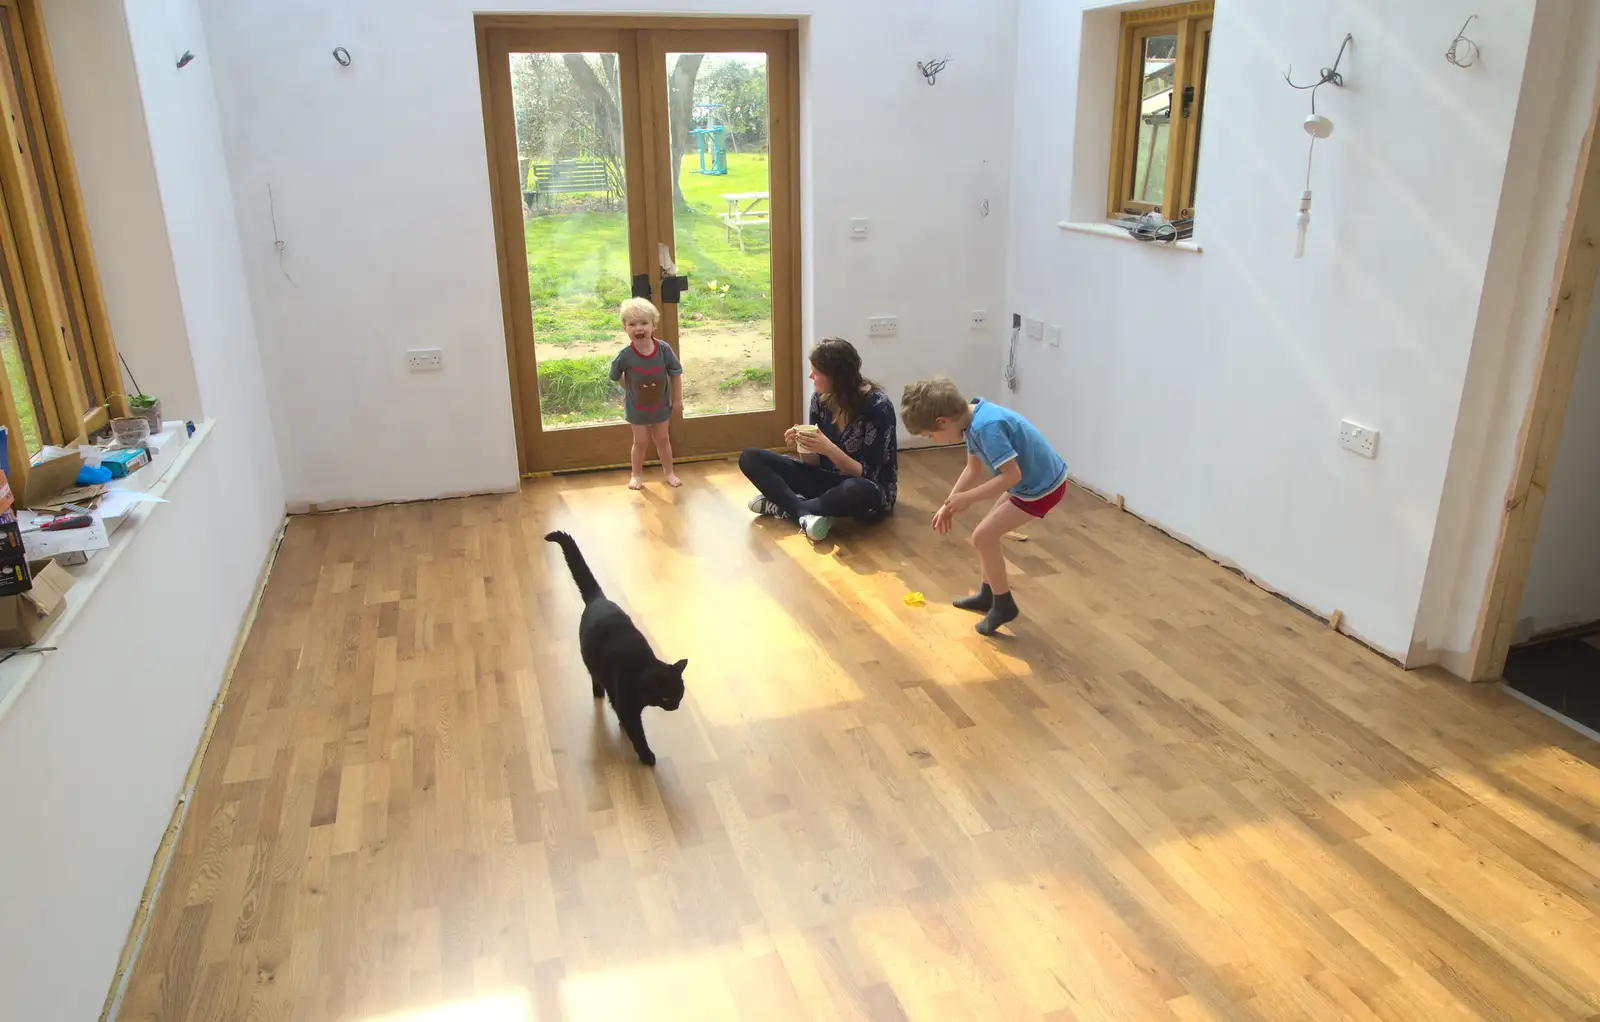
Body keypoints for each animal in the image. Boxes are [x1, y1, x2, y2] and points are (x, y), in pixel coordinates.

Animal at [547, 530, 684, 764]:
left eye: (680, 694)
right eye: (667, 697)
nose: (675, 706)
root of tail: (598, 599)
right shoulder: (628, 706)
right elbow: (637, 732)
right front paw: (647, 756)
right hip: (590, 661)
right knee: (595, 677)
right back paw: (598, 692)